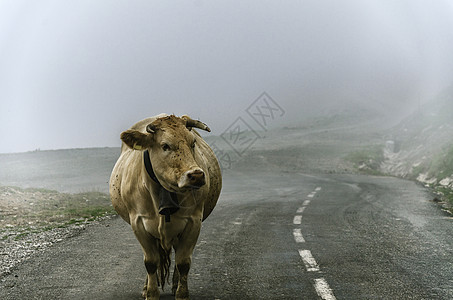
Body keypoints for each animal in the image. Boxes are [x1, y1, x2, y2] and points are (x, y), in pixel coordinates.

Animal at [110, 113, 222, 298]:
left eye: (193, 143)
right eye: (165, 146)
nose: (196, 175)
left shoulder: (193, 222)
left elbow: (183, 262)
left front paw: (182, 294)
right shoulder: (138, 223)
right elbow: (150, 262)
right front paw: (151, 293)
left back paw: (175, 284)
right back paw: (146, 287)